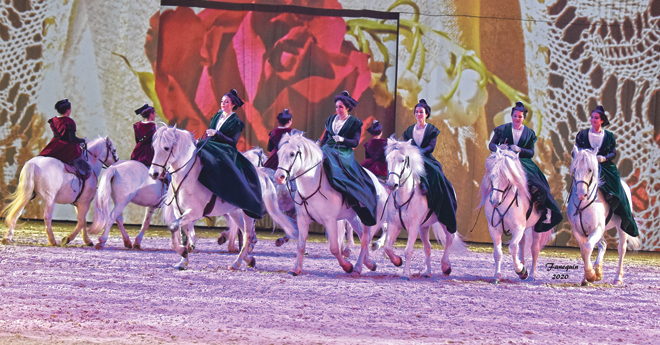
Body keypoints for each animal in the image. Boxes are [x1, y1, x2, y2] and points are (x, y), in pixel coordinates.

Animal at [150, 125, 258, 270]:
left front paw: (184, 252)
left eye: (166, 148)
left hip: (248, 213)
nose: (153, 174)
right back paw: (248, 259)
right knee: (245, 233)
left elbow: (174, 227)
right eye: (154, 147)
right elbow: (183, 234)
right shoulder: (181, 212)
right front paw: (184, 259)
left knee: (247, 235)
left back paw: (237, 262)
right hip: (234, 212)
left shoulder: (194, 212)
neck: (187, 178)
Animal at [274, 131, 392, 274]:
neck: (313, 187)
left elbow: (334, 248)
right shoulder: (303, 219)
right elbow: (301, 245)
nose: (279, 177)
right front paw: (296, 269)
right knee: (363, 237)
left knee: (366, 239)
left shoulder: (330, 221)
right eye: (279, 153)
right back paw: (369, 263)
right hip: (353, 217)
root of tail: (380, 184)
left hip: (370, 218)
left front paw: (347, 266)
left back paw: (358, 267)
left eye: (292, 154)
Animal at [382, 138, 470, 278]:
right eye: (388, 159)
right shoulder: (394, 224)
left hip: (445, 221)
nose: (392, 185)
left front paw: (406, 273)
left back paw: (446, 266)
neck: (404, 196)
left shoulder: (413, 226)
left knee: (449, 239)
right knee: (428, 247)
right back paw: (427, 271)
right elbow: (388, 247)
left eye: (402, 160)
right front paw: (397, 261)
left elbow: (408, 250)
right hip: (423, 227)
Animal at [476, 148, 556, 282]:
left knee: (534, 249)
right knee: (522, 246)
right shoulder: (494, 229)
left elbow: (513, 248)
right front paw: (497, 276)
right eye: (492, 175)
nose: (494, 201)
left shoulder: (518, 228)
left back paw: (532, 274)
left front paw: (521, 270)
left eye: (507, 177)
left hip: (536, 228)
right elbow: (498, 252)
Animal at [568, 146, 640, 284]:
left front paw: (590, 275)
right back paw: (598, 271)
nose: (581, 194)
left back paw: (617, 278)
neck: (583, 204)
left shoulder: (596, 228)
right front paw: (588, 276)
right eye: (574, 169)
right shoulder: (578, 231)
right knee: (603, 244)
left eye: (590, 170)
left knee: (621, 248)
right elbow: (584, 252)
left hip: (621, 226)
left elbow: (587, 248)